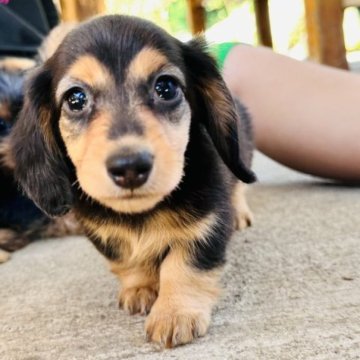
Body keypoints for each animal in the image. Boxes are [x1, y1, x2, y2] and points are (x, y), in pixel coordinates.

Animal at [10, 15, 256, 348]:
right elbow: (127, 260)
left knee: (239, 186)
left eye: (166, 87)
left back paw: (241, 213)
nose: (129, 167)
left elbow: (184, 264)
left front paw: (174, 312)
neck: (141, 214)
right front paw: (141, 288)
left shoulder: (208, 221)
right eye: (76, 99)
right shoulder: (103, 233)